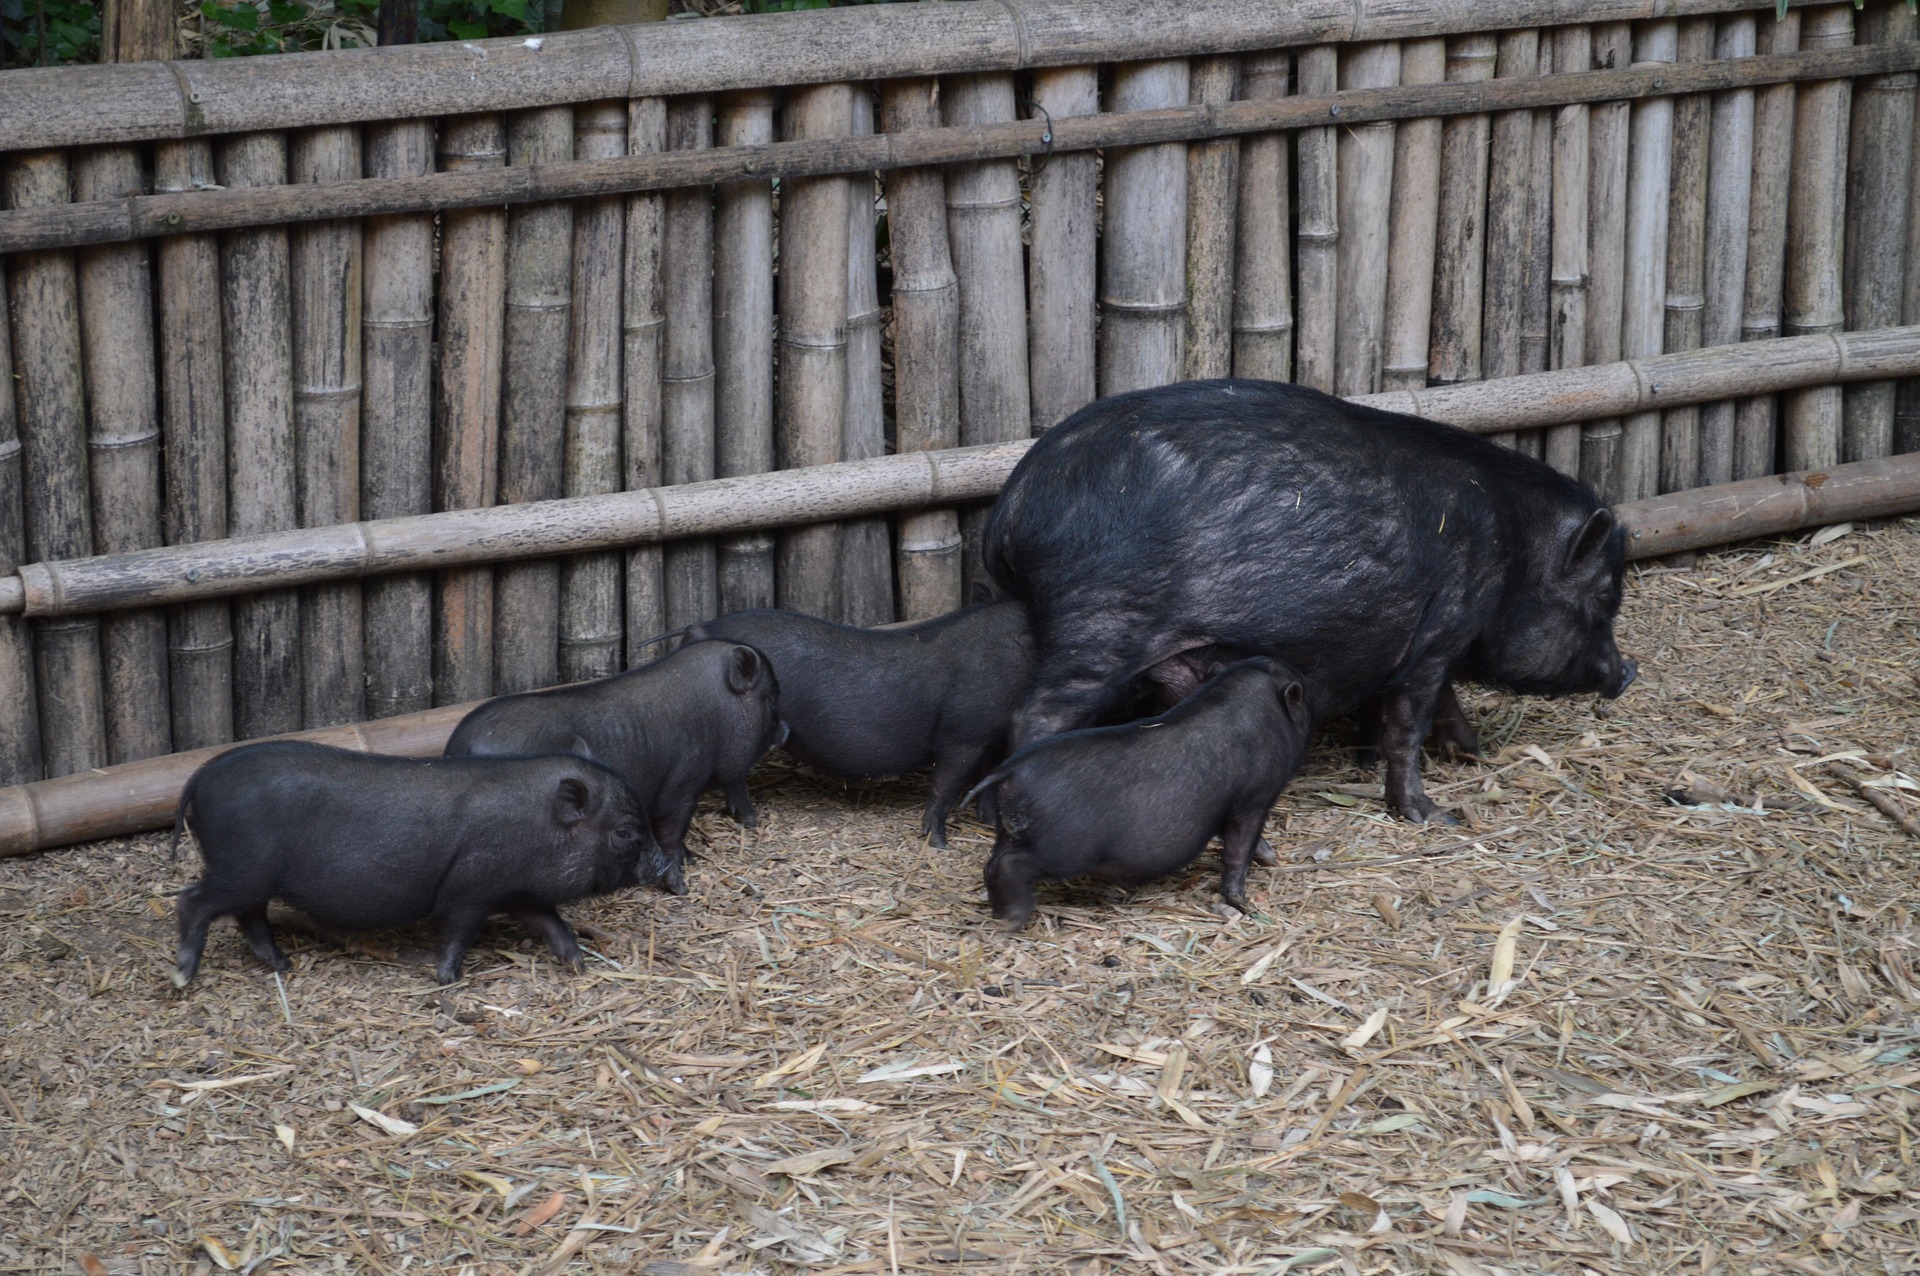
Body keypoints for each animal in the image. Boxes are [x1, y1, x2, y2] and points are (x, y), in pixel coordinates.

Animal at [171, 742, 661, 986]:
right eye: (623, 832)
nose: (660, 863)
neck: (538, 826)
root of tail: (200, 776)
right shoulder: (470, 891)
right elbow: (457, 934)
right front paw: (447, 980)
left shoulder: (515, 893)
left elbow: (553, 923)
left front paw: (579, 965)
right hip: (244, 868)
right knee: (193, 900)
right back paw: (182, 977)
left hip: (252, 876)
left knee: (247, 915)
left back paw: (282, 966)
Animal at [444, 640, 783, 880]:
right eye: (770, 699)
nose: (785, 731)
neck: (714, 712)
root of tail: (461, 745)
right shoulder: (682, 783)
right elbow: (672, 829)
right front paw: (680, 883)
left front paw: (690, 860)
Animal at [675, 603, 1033, 848]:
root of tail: (703, 628)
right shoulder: (963, 736)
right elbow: (946, 785)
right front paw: (939, 843)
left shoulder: (989, 737)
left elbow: (986, 777)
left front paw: (989, 821)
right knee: (734, 773)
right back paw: (751, 820)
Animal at [965, 656, 1312, 931]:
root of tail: (1009, 770)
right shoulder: (1253, 799)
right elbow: (1240, 848)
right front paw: (1250, 897)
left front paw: (1272, 860)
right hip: (1061, 848)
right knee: (1011, 865)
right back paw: (1014, 921)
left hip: (1012, 830)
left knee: (992, 862)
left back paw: (1001, 915)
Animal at [983, 377, 1636, 825]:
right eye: (1605, 596)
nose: (1628, 670)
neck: (1514, 549)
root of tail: (1011, 507)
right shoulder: (1443, 629)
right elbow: (1409, 722)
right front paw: (1435, 816)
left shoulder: (1422, 642)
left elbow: (1427, 705)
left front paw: (1467, 754)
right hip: (1101, 621)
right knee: (1035, 714)